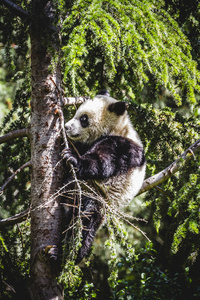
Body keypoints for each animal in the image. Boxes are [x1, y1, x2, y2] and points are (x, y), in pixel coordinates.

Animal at [62, 94, 145, 262]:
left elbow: (103, 162)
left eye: (84, 119)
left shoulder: (123, 146)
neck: (118, 127)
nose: (66, 127)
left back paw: (73, 252)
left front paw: (73, 158)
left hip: (97, 198)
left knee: (85, 223)